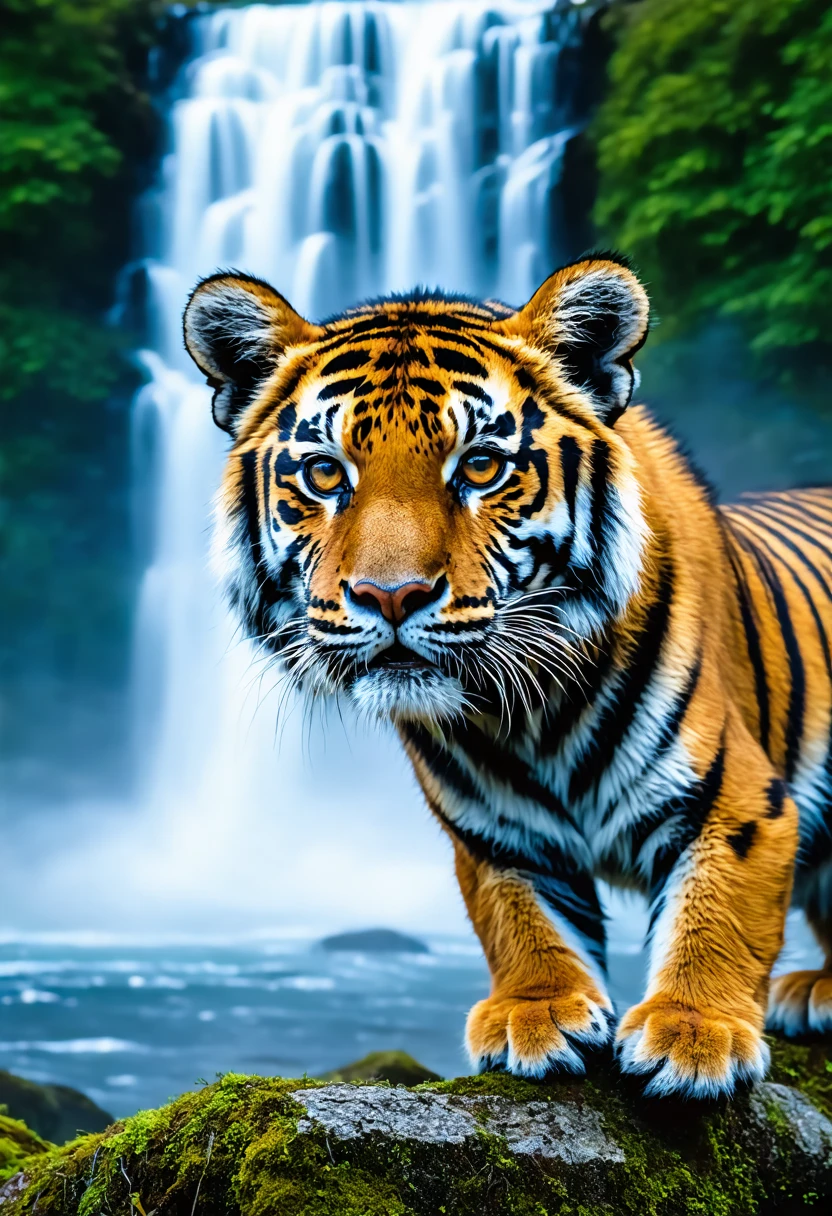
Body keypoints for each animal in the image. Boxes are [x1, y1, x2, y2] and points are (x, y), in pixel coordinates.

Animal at [182, 259, 832, 1104]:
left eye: (481, 467)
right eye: (325, 473)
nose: (391, 595)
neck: (527, 709)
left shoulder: (736, 800)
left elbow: (715, 913)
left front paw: (694, 1034)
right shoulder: (497, 830)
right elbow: (523, 920)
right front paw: (540, 1013)